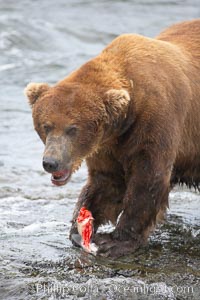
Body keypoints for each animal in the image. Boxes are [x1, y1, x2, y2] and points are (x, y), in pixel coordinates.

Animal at [25, 19, 200, 256]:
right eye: (46, 126)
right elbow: (106, 182)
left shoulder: (157, 122)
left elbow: (148, 179)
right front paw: (80, 227)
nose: (51, 162)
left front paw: (115, 241)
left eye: (72, 129)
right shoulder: (106, 145)